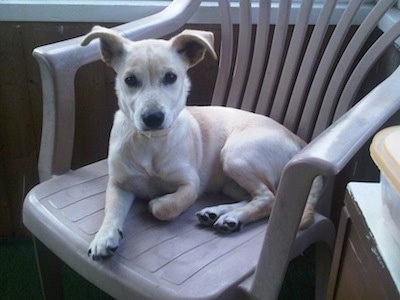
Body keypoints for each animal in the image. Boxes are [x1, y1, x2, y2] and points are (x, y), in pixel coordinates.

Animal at [82, 26, 322, 260]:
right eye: (130, 80)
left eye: (171, 77)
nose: (153, 118)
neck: (151, 142)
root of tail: (299, 139)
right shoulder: (119, 184)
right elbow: (112, 210)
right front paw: (104, 237)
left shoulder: (190, 184)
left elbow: (165, 207)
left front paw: (156, 202)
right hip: (231, 182)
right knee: (259, 196)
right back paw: (220, 213)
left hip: (235, 156)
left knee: (268, 197)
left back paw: (232, 216)